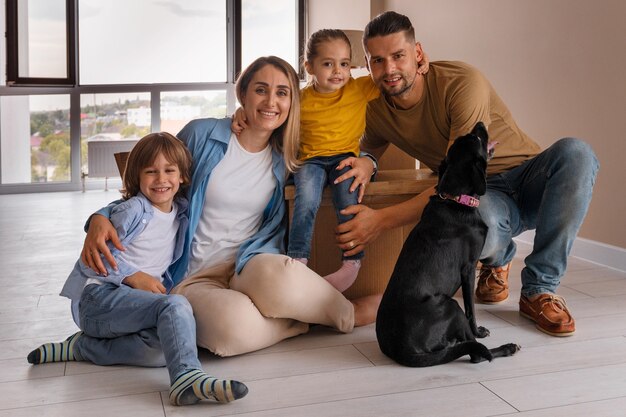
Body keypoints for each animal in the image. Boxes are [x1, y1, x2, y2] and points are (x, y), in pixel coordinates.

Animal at [376, 122, 516, 366]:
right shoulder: (468, 268)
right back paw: (506, 348)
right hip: (450, 305)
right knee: (477, 354)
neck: (455, 199)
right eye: (477, 139)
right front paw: (479, 331)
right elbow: (471, 310)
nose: (480, 123)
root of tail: (401, 349)